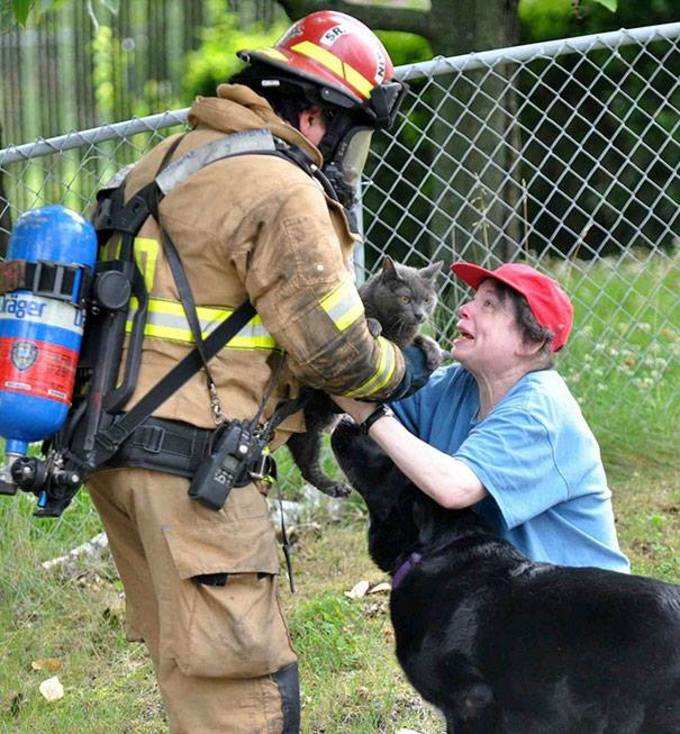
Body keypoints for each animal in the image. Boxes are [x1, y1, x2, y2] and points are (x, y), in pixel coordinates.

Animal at [286, 256, 446, 498]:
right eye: (405, 298)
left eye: (427, 300)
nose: (419, 314)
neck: (393, 324)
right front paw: (372, 324)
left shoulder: (402, 344)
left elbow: (415, 340)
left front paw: (434, 352)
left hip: (309, 427)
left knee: (305, 459)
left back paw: (336, 487)